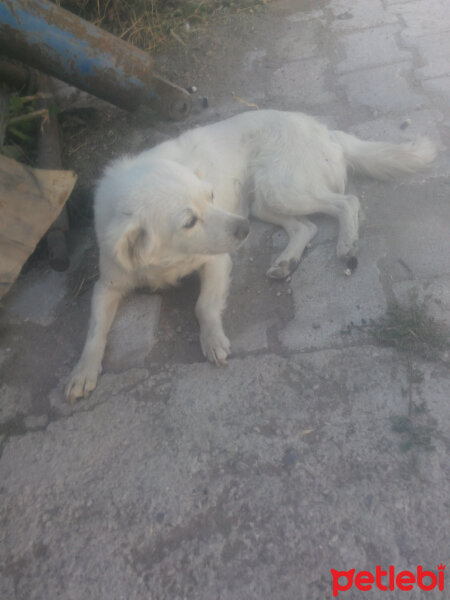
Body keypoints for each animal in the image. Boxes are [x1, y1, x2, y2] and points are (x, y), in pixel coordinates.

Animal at [65, 110, 438, 400]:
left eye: (211, 196)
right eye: (189, 221)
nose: (243, 230)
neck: (164, 261)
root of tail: (322, 128)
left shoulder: (217, 260)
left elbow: (203, 306)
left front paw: (212, 340)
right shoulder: (107, 284)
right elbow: (94, 330)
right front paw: (83, 371)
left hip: (280, 189)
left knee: (347, 202)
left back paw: (346, 243)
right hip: (263, 201)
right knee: (306, 227)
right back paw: (286, 262)